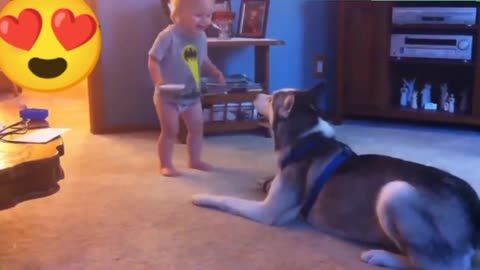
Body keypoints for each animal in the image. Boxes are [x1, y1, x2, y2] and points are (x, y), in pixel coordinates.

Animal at [191, 86, 480, 268]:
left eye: (272, 99)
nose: (256, 94)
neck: (308, 138)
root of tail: (473, 213)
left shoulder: (269, 212)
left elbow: (227, 199)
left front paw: (202, 197)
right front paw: (262, 181)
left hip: (395, 192)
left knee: (432, 266)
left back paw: (382, 257)